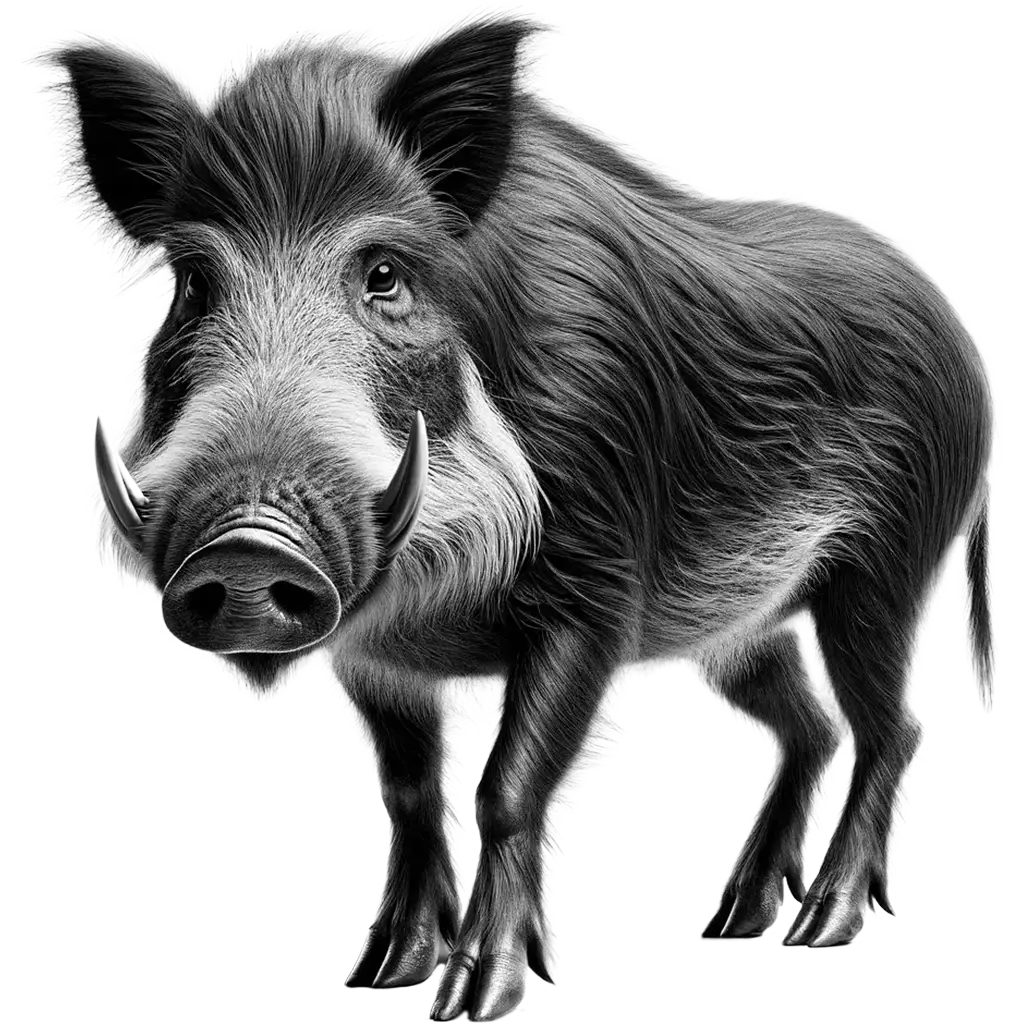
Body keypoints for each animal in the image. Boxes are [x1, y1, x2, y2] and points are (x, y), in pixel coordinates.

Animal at [34, 9, 997, 1021]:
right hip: (742, 629)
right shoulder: (374, 653)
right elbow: (409, 792)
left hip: (886, 574)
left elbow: (506, 785)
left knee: (892, 728)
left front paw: (475, 998)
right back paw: (730, 925)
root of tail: (968, 347)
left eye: (386, 272)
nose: (248, 547)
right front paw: (384, 972)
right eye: (191, 281)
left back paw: (817, 932)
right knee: (810, 727)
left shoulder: (592, 599)